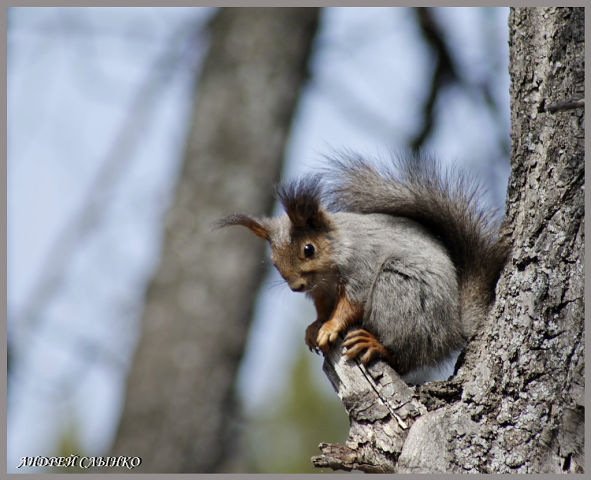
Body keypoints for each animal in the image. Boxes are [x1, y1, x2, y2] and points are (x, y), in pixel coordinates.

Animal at [220, 154, 512, 376]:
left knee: (407, 357)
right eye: (273, 260)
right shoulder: (320, 293)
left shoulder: (362, 269)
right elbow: (323, 309)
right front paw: (315, 327)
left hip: (398, 289)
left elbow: (350, 305)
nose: (296, 287)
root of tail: (453, 328)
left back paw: (374, 345)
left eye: (308, 249)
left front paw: (330, 328)